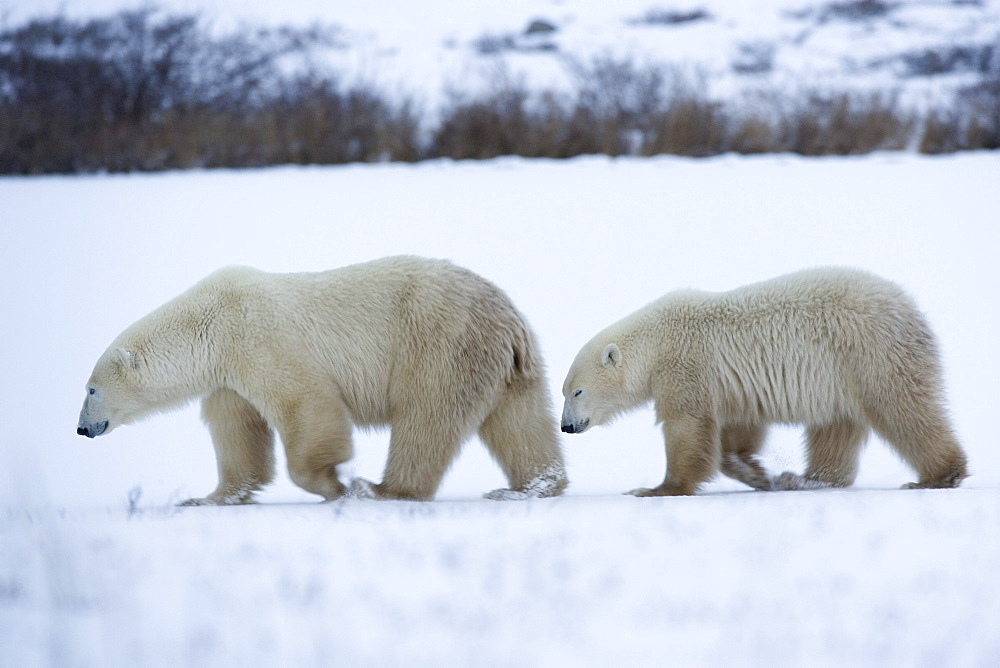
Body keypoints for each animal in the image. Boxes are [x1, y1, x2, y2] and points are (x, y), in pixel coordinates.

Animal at [78, 254, 568, 500]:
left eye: (91, 388)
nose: (81, 428)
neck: (210, 322)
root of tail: (507, 320)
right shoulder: (229, 377)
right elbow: (238, 434)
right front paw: (208, 498)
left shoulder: (261, 341)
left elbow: (307, 406)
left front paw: (332, 484)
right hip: (511, 367)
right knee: (521, 424)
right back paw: (533, 487)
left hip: (439, 345)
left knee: (426, 418)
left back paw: (382, 490)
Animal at [560, 268, 964, 496]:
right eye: (563, 391)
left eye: (577, 391)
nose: (565, 426)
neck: (657, 340)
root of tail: (912, 311)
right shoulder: (732, 383)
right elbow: (738, 429)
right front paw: (756, 474)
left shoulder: (686, 368)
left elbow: (686, 428)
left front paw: (656, 489)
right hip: (841, 375)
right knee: (837, 426)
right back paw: (804, 479)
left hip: (870, 354)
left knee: (903, 410)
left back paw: (938, 475)